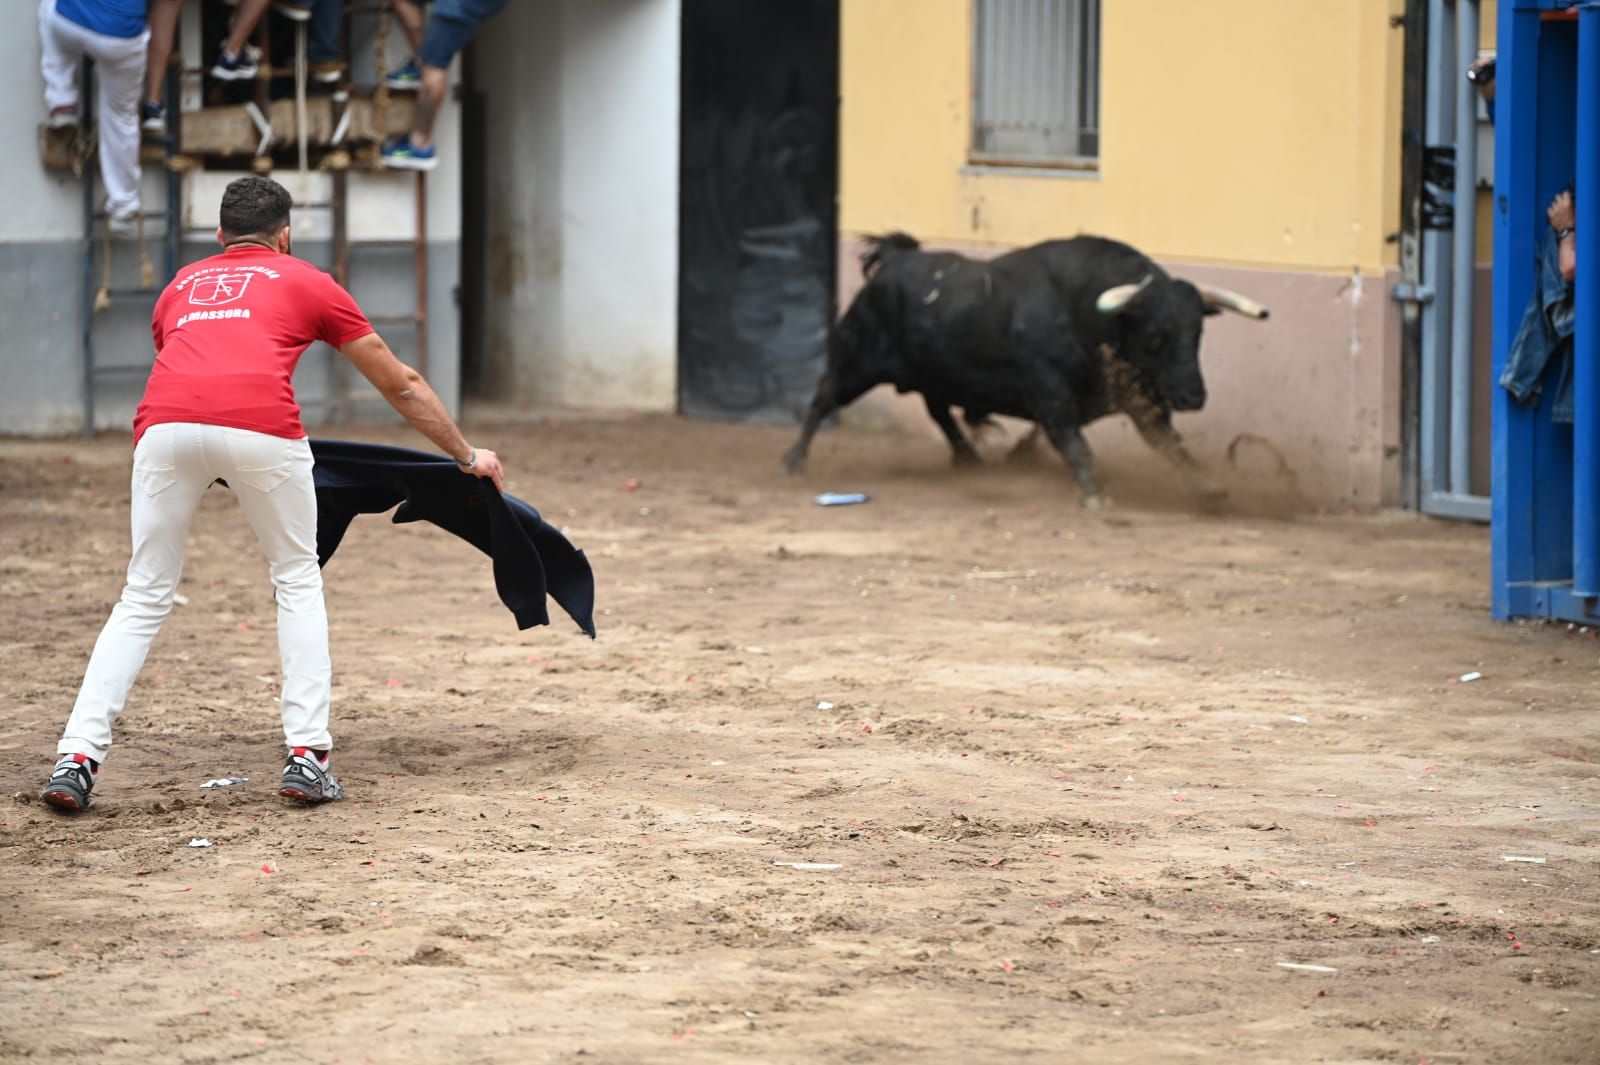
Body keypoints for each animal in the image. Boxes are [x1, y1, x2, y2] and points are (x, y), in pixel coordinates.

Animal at [780, 233, 1267, 505]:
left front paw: (1208, 487)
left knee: (938, 410)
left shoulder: (1141, 399)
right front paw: (1093, 494)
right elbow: (1075, 444)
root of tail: (895, 260)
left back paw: (969, 459)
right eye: (1157, 333)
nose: (1193, 396)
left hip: (931, 372)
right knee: (824, 396)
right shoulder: (1050, 391)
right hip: (857, 361)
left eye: (1197, 331)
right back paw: (793, 460)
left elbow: (1170, 444)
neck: (1087, 312)